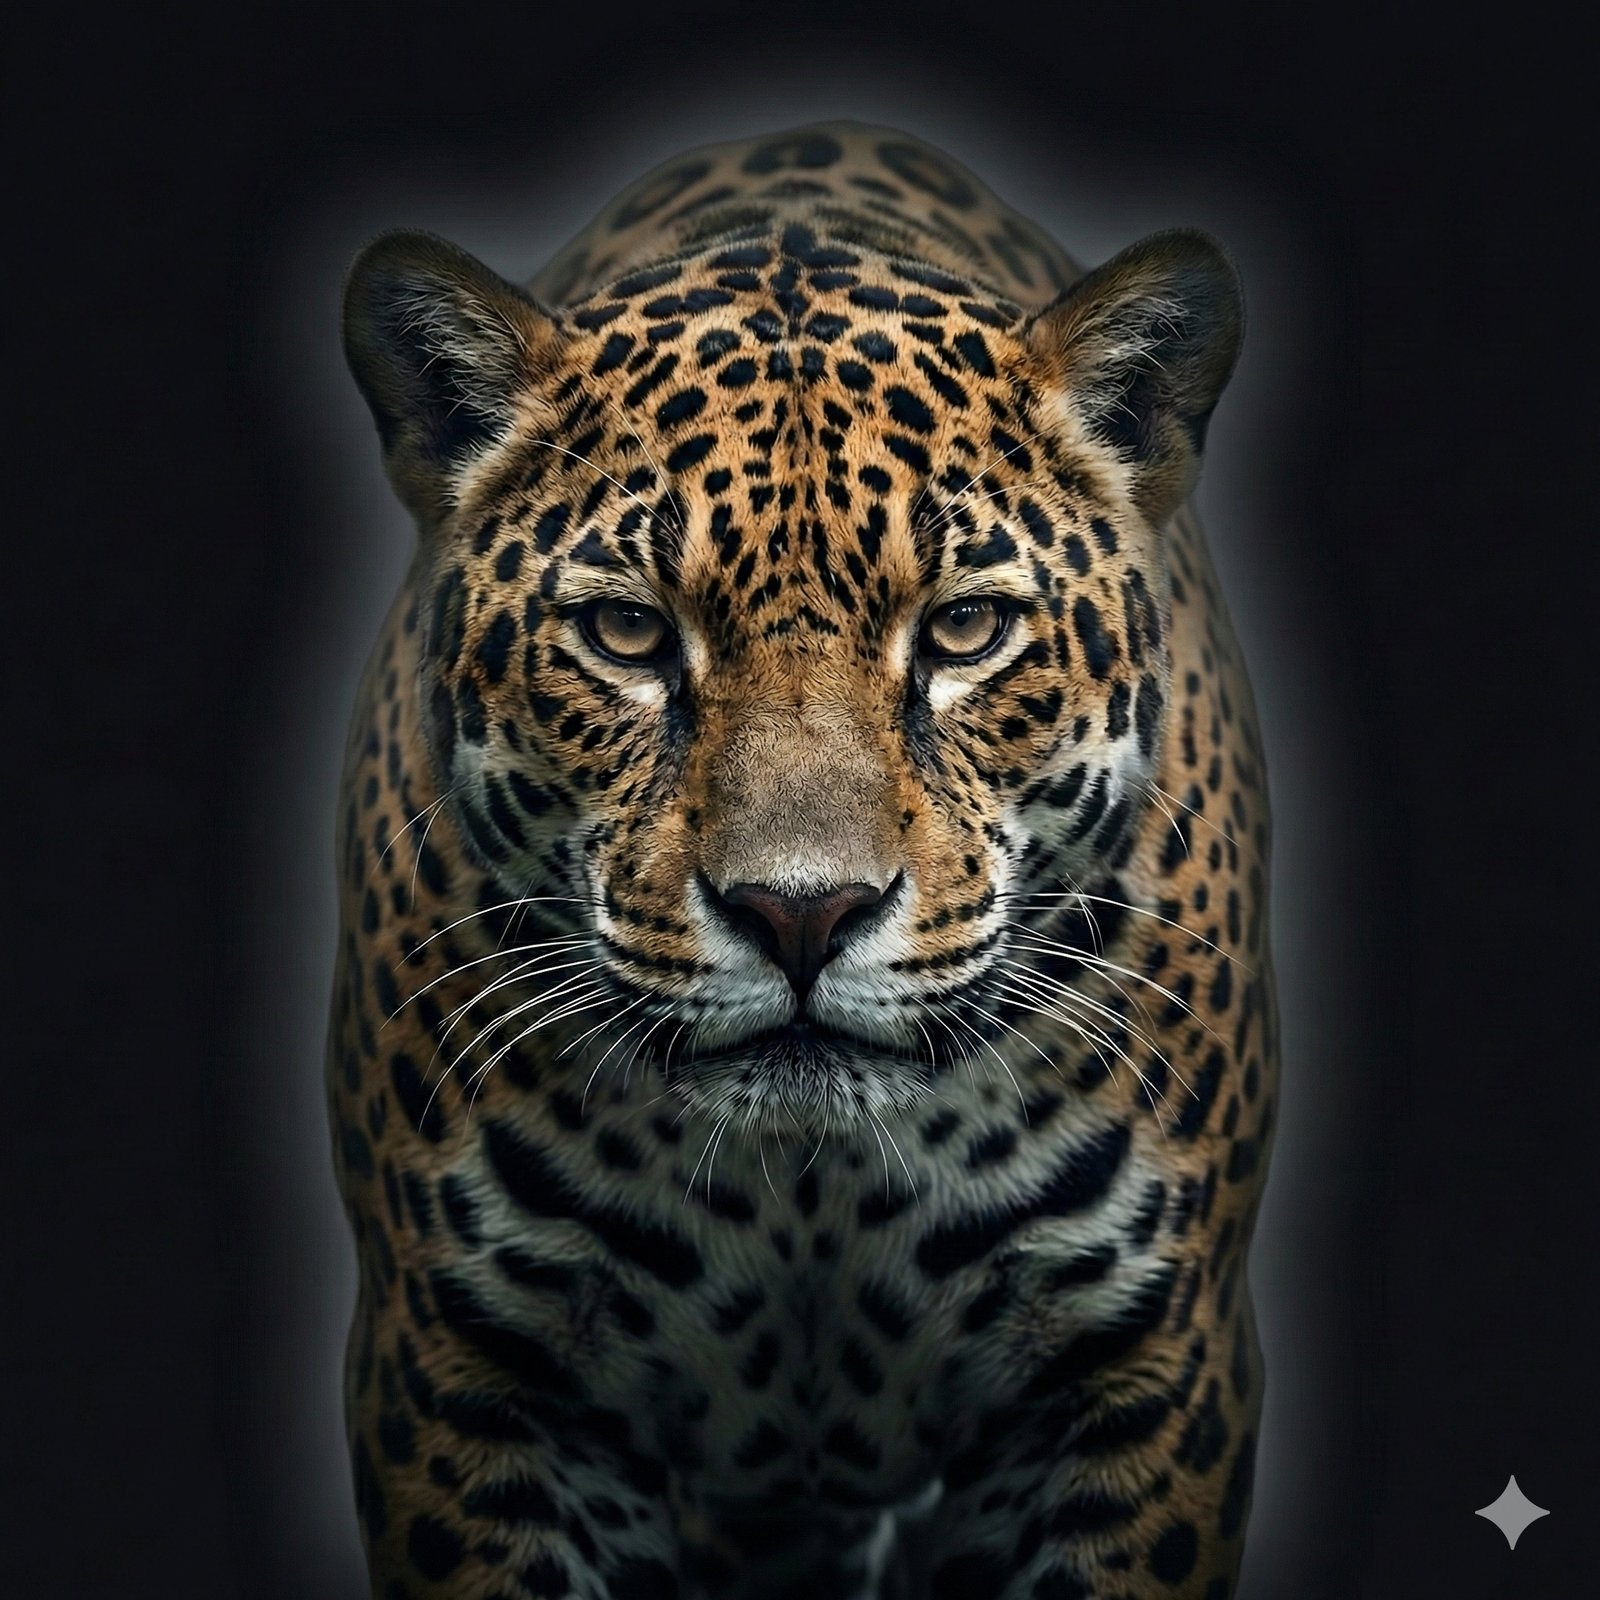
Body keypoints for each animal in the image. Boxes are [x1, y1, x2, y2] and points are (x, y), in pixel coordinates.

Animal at [328, 120, 1277, 1600]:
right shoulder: (470, 1375)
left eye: (962, 631)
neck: (809, 1200)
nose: (800, 913)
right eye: (626, 633)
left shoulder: (1137, 1370)